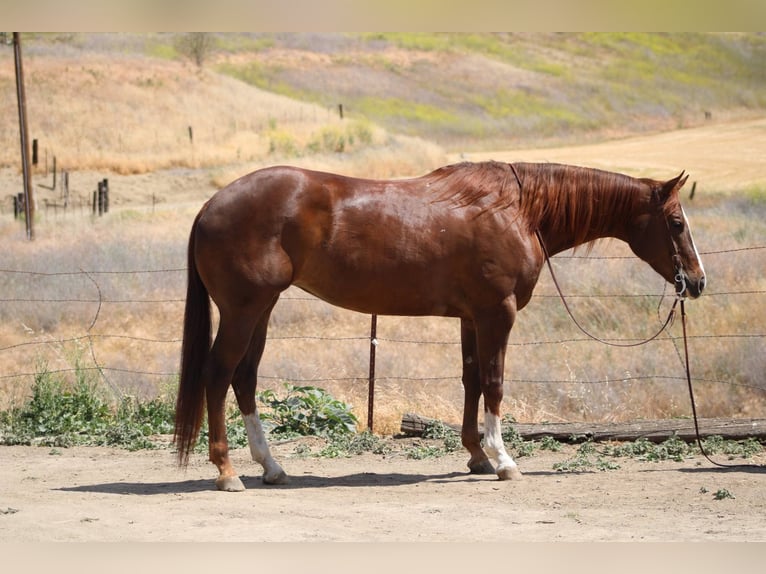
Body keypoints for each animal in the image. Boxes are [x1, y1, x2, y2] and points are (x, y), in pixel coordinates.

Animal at [174, 160, 706, 491]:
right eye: (677, 223)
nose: (698, 282)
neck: (518, 210)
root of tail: (210, 205)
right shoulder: (498, 313)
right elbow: (494, 382)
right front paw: (504, 461)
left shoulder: (473, 317)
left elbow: (472, 380)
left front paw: (476, 456)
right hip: (243, 310)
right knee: (218, 376)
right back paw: (226, 471)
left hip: (262, 309)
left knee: (244, 378)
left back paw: (270, 466)